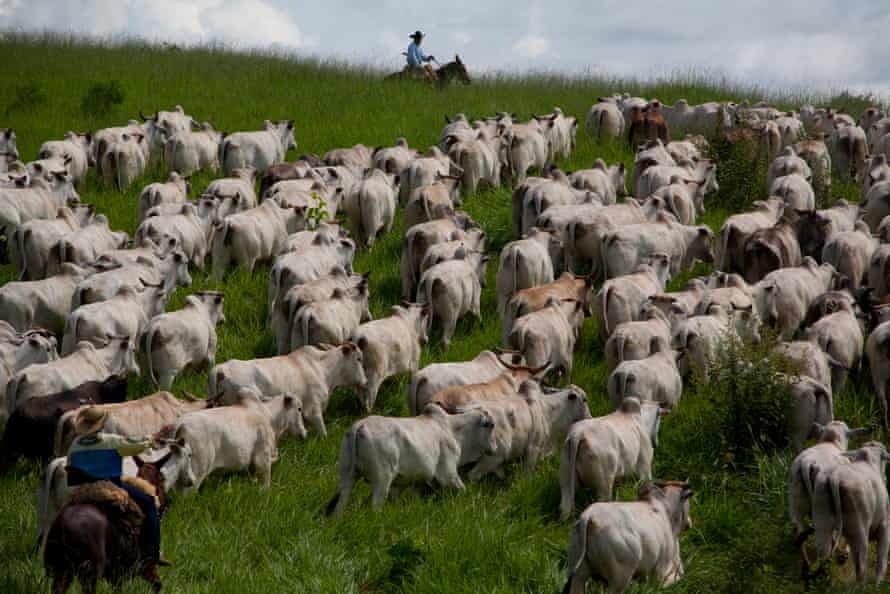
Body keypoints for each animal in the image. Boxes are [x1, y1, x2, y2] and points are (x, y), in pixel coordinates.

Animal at [43, 454, 172, 592]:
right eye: (162, 479)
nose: (167, 502)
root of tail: (63, 529)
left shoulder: (116, 574)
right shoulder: (143, 567)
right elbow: (157, 585)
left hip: (62, 569)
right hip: (89, 572)